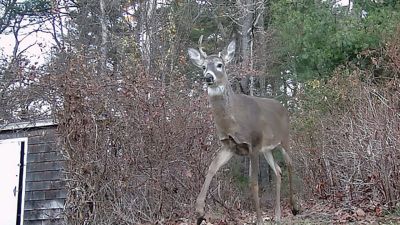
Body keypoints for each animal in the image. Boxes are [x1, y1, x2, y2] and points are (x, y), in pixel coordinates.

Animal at [189, 37, 298, 225]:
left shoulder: (253, 144)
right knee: (278, 170)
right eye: (203, 66)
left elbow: (253, 183)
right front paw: (200, 211)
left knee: (290, 165)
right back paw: (277, 215)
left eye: (219, 64)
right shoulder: (229, 146)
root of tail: (283, 107)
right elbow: (211, 169)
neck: (233, 122)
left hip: (285, 139)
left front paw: (259, 219)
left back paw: (293, 207)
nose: (208, 77)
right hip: (267, 149)